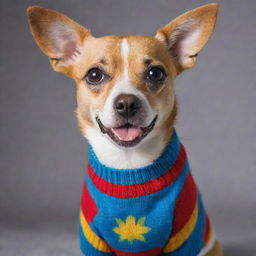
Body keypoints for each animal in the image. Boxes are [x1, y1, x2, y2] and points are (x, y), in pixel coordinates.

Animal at [28, 3, 223, 255]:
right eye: (94, 75)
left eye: (155, 73)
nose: (127, 103)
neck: (129, 165)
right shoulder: (93, 239)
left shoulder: (185, 236)